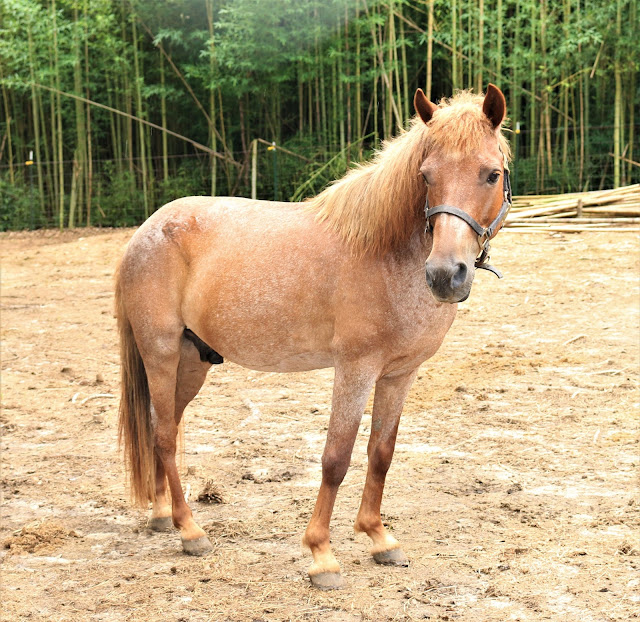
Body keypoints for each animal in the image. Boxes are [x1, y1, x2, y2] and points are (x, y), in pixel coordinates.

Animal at [115, 85, 511, 590]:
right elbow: (336, 458)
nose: (445, 275)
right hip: (161, 353)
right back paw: (190, 531)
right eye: (426, 176)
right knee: (164, 435)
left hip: (192, 361)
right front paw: (322, 555)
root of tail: (146, 231)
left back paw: (163, 515)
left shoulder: (399, 374)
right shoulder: (356, 369)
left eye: (491, 173)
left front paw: (379, 538)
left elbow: (381, 453)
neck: (386, 254)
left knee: (161, 426)